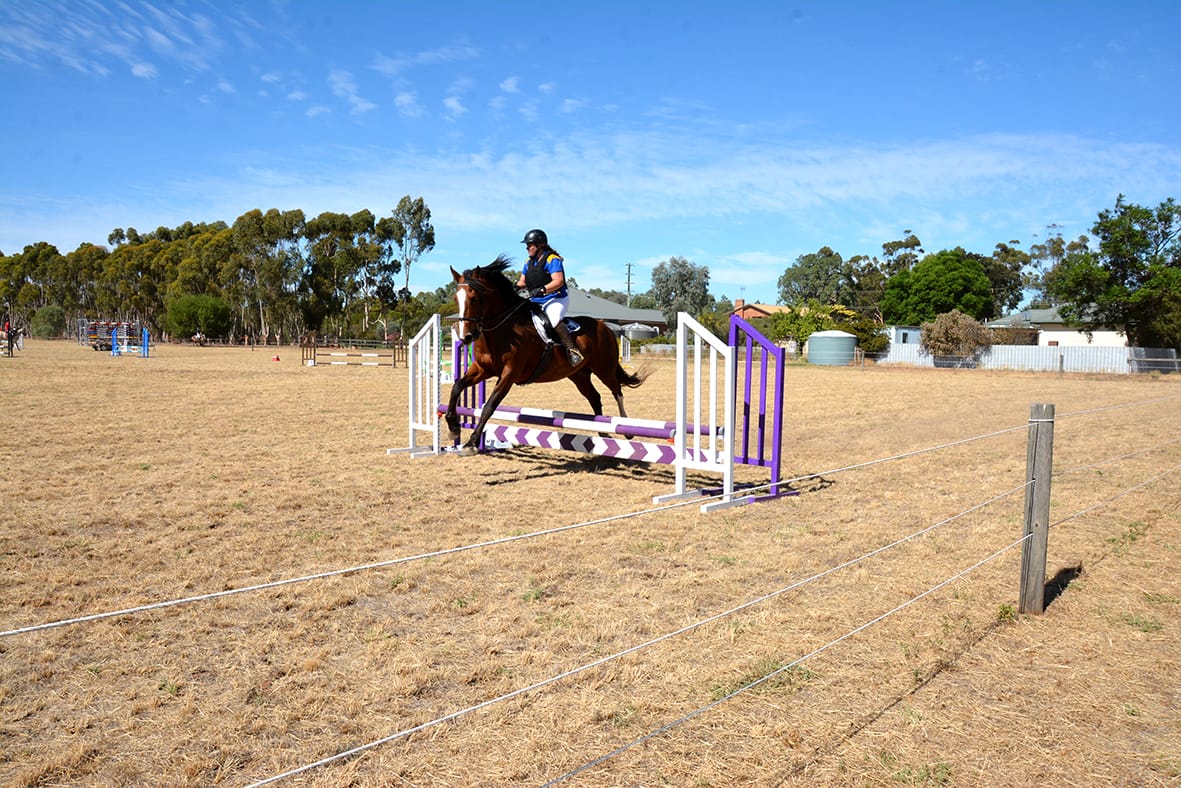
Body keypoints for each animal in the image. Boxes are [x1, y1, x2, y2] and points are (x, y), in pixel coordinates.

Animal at [445, 255, 644, 451]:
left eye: (474, 298)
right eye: (455, 299)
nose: (466, 336)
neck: (503, 329)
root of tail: (605, 326)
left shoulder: (509, 374)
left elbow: (489, 406)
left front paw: (471, 442)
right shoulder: (482, 369)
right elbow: (457, 386)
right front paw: (453, 427)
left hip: (604, 368)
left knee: (617, 391)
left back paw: (625, 428)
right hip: (579, 375)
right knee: (595, 397)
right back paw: (603, 433)